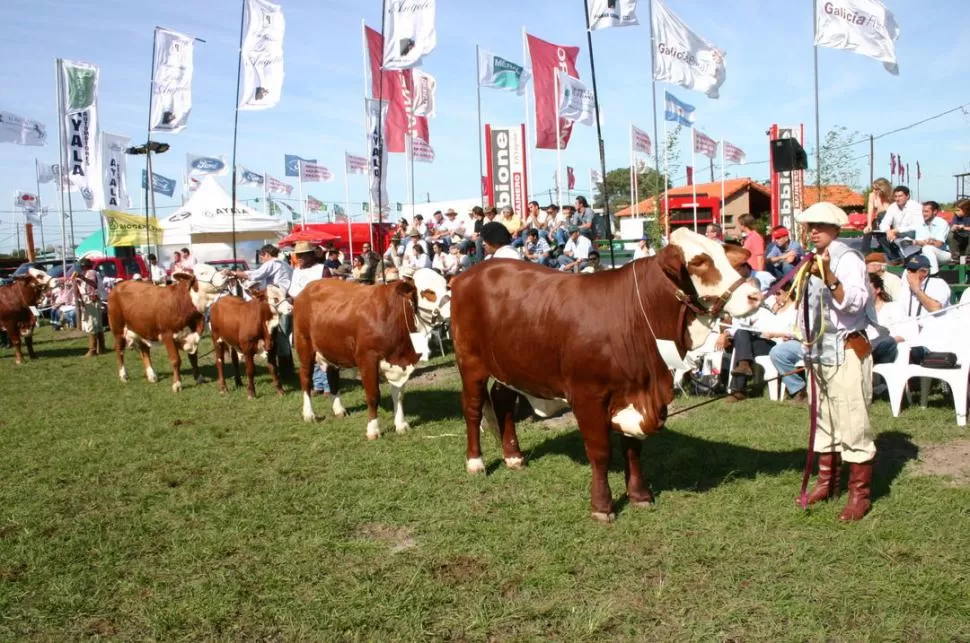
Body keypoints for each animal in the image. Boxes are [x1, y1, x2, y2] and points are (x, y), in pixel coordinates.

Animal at [294, 270, 448, 440]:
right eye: (428, 292)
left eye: (446, 286)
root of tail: (309, 287)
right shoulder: (367, 359)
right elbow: (373, 395)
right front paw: (373, 430)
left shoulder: (399, 364)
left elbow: (399, 395)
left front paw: (401, 424)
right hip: (304, 346)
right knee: (305, 379)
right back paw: (309, 414)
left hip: (331, 349)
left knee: (332, 378)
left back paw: (339, 410)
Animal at [450, 229, 760, 520]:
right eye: (698, 261)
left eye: (723, 255)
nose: (754, 295)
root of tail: (473, 272)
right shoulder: (588, 396)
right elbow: (600, 451)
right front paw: (602, 505)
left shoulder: (635, 393)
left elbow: (632, 449)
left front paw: (639, 495)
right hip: (471, 364)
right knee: (473, 408)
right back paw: (475, 462)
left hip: (512, 365)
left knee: (502, 402)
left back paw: (513, 456)